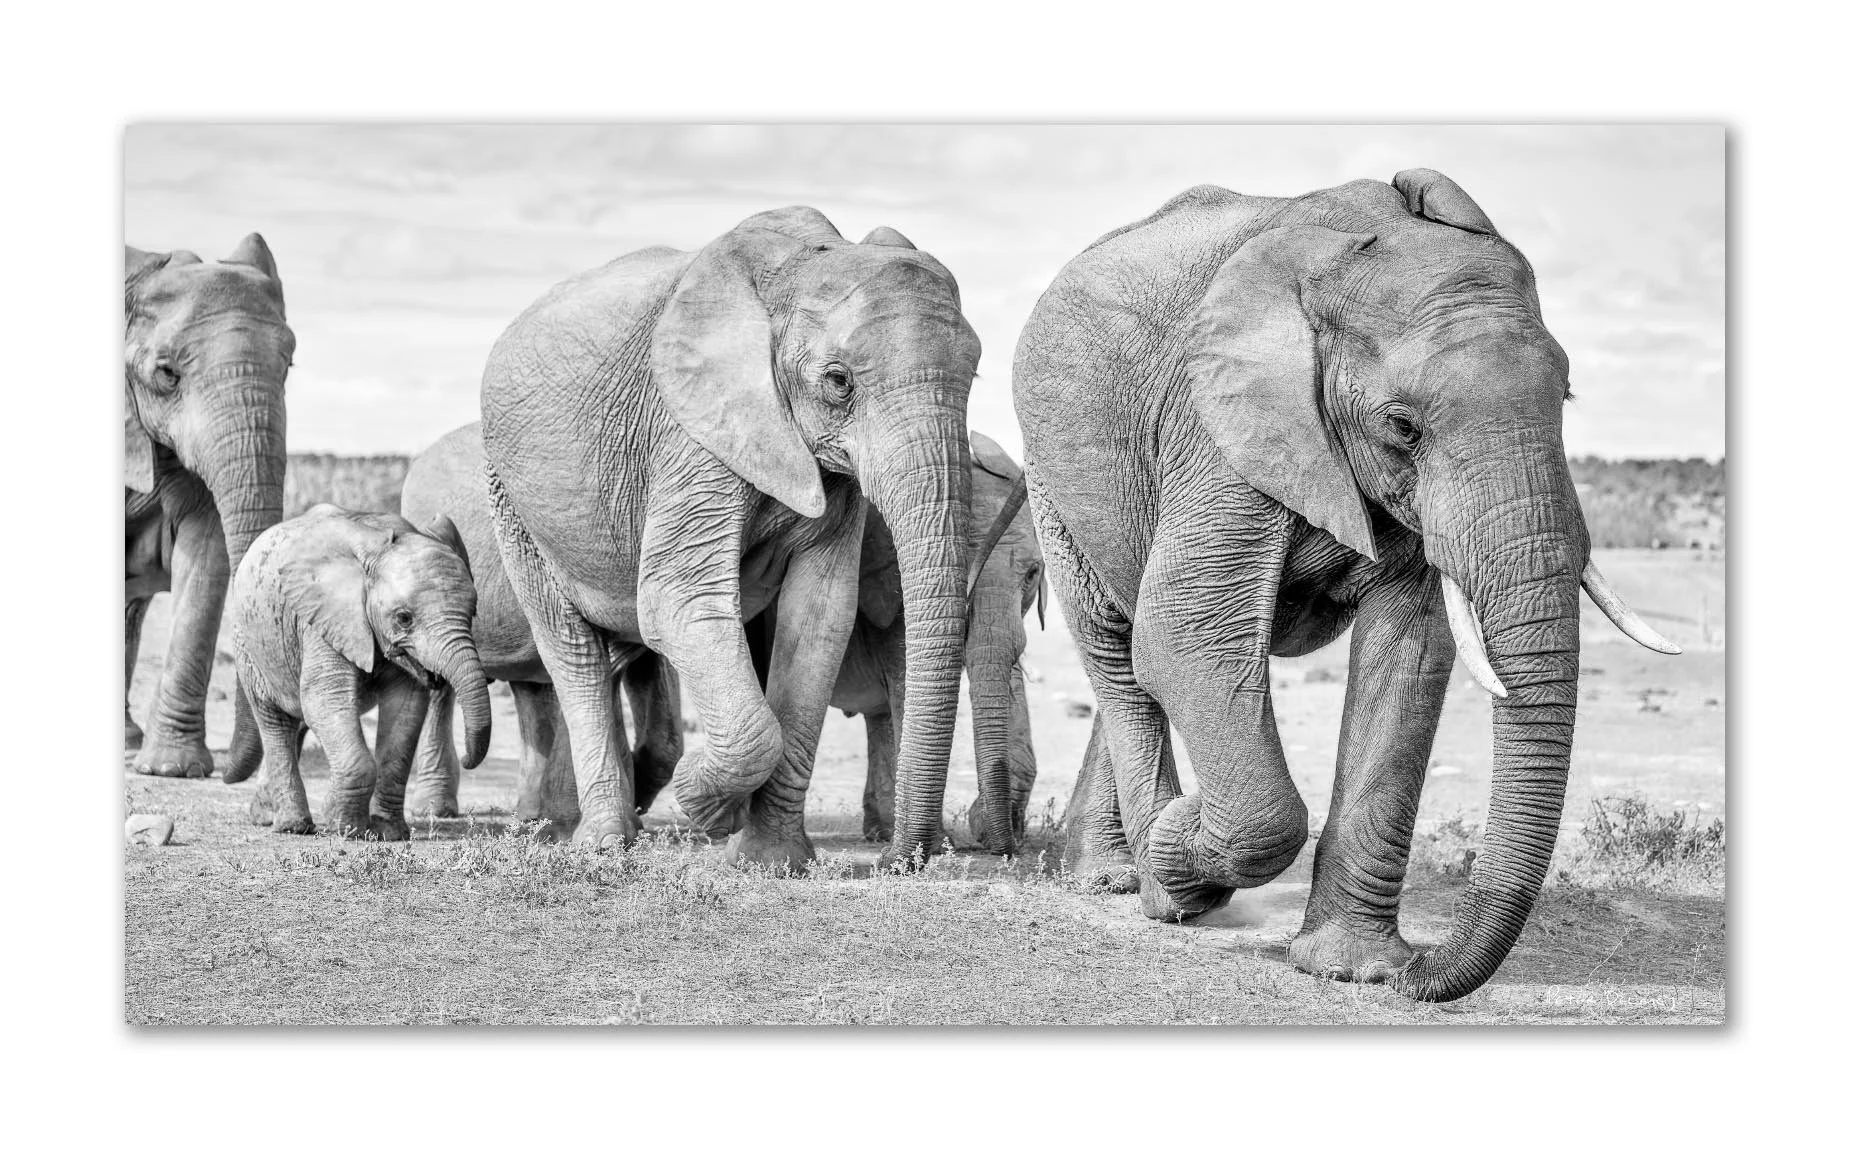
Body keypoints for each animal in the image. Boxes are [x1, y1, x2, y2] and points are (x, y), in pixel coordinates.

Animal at [226, 504, 493, 839]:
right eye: (404, 618)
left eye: (473, 612)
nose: (469, 760)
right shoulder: (324, 620)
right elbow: (325, 701)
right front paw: (348, 829)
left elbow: (406, 710)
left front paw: (389, 833)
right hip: (247, 641)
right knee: (275, 719)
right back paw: (292, 826)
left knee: (297, 718)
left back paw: (271, 815)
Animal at [481, 206, 981, 872]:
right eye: (838, 381)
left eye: (973, 373)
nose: (898, 860)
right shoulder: (690, 434)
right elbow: (677, 601)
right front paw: (704, 808)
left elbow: (819, 618)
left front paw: (771, 861)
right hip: (511, 500)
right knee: (573, 649)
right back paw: (606, 845)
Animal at [1013, 171, 1679, 1003]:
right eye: (1402, 426)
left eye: (1565, 400)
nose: (1422, 976)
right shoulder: (1217, 427)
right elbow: (1188, 634)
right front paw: (1182, 840)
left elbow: (1410, 654)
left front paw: (1354, 969)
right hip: (1050, 471)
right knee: (1116, 645)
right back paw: (1159, 881)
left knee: (1131, 656)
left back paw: (1121, 872)